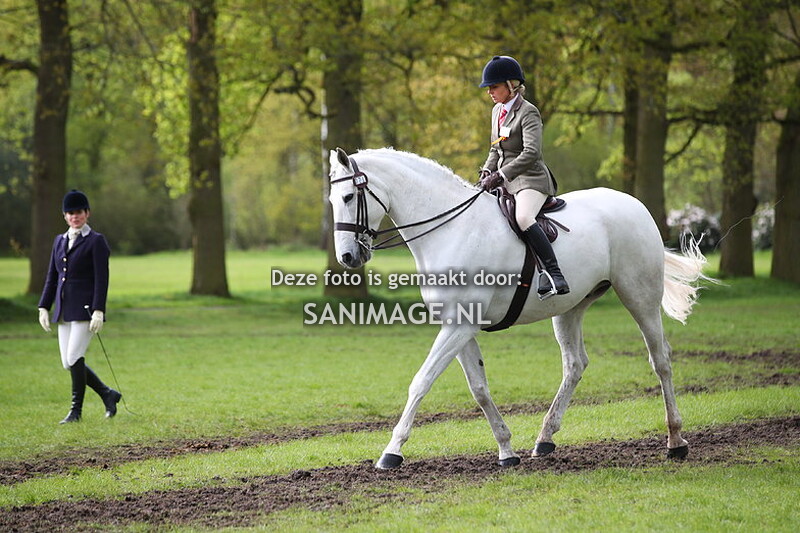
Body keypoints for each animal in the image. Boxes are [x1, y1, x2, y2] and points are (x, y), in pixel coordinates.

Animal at [328, 147, 710, 469]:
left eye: (348, 197)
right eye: (332, 199)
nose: (347, 257)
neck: (452, 230)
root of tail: (635, 204)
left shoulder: (458, 328)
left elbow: (421, 381)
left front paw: (391, 452)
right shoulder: (459, 327)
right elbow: (479, 389)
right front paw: (506, 450)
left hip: (639, 297)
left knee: (660, 360)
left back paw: (675, 441)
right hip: (570, 307)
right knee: (575, 365)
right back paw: (545, 439)